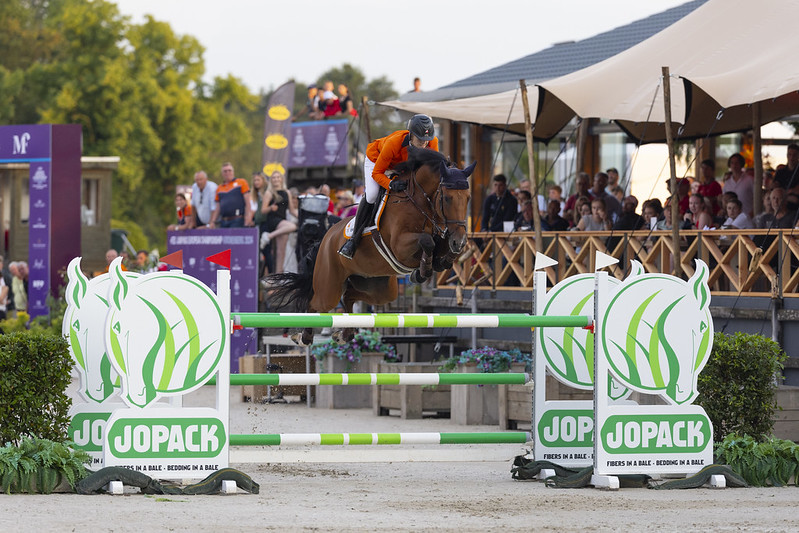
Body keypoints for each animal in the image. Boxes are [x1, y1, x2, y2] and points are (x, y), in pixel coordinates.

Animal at [266, 145, 476, 344]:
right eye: (447, 198)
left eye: (468, 198)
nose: (459, 240)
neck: (419, 203)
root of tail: (326, 237)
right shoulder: (400, 246)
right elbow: (427, 241)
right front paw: (422, 271)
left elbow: (441, 247)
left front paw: (441, 261)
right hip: (329, 287)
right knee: (315, 304)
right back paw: (304, 337)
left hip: (379, 288)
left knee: (349, 296)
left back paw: (344, 335)